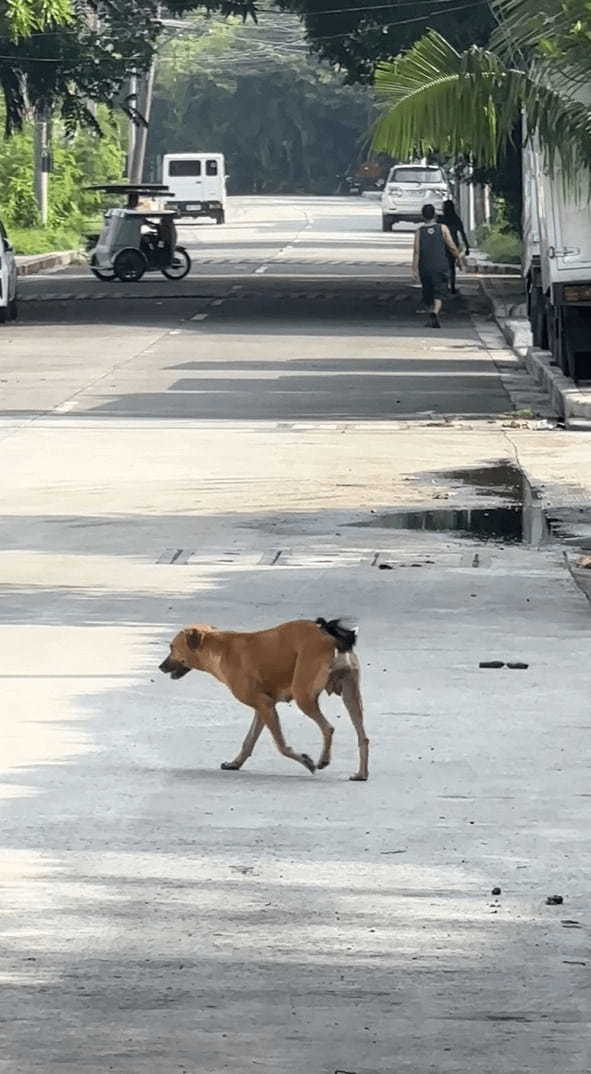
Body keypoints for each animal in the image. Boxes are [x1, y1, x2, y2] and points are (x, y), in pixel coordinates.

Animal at [160, 618, 367, 777]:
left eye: (172, 647)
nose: (160, 667)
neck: (219, 648)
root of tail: (330, 636)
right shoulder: (263, 707)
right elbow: (248, 741)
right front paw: (235, 763)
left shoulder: (265, 705)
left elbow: (281, 746)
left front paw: (305, 760)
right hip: (351, 696)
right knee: (363, 737)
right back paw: (361, 774)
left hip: (304, 696)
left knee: (328, 728)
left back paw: (323, 760)